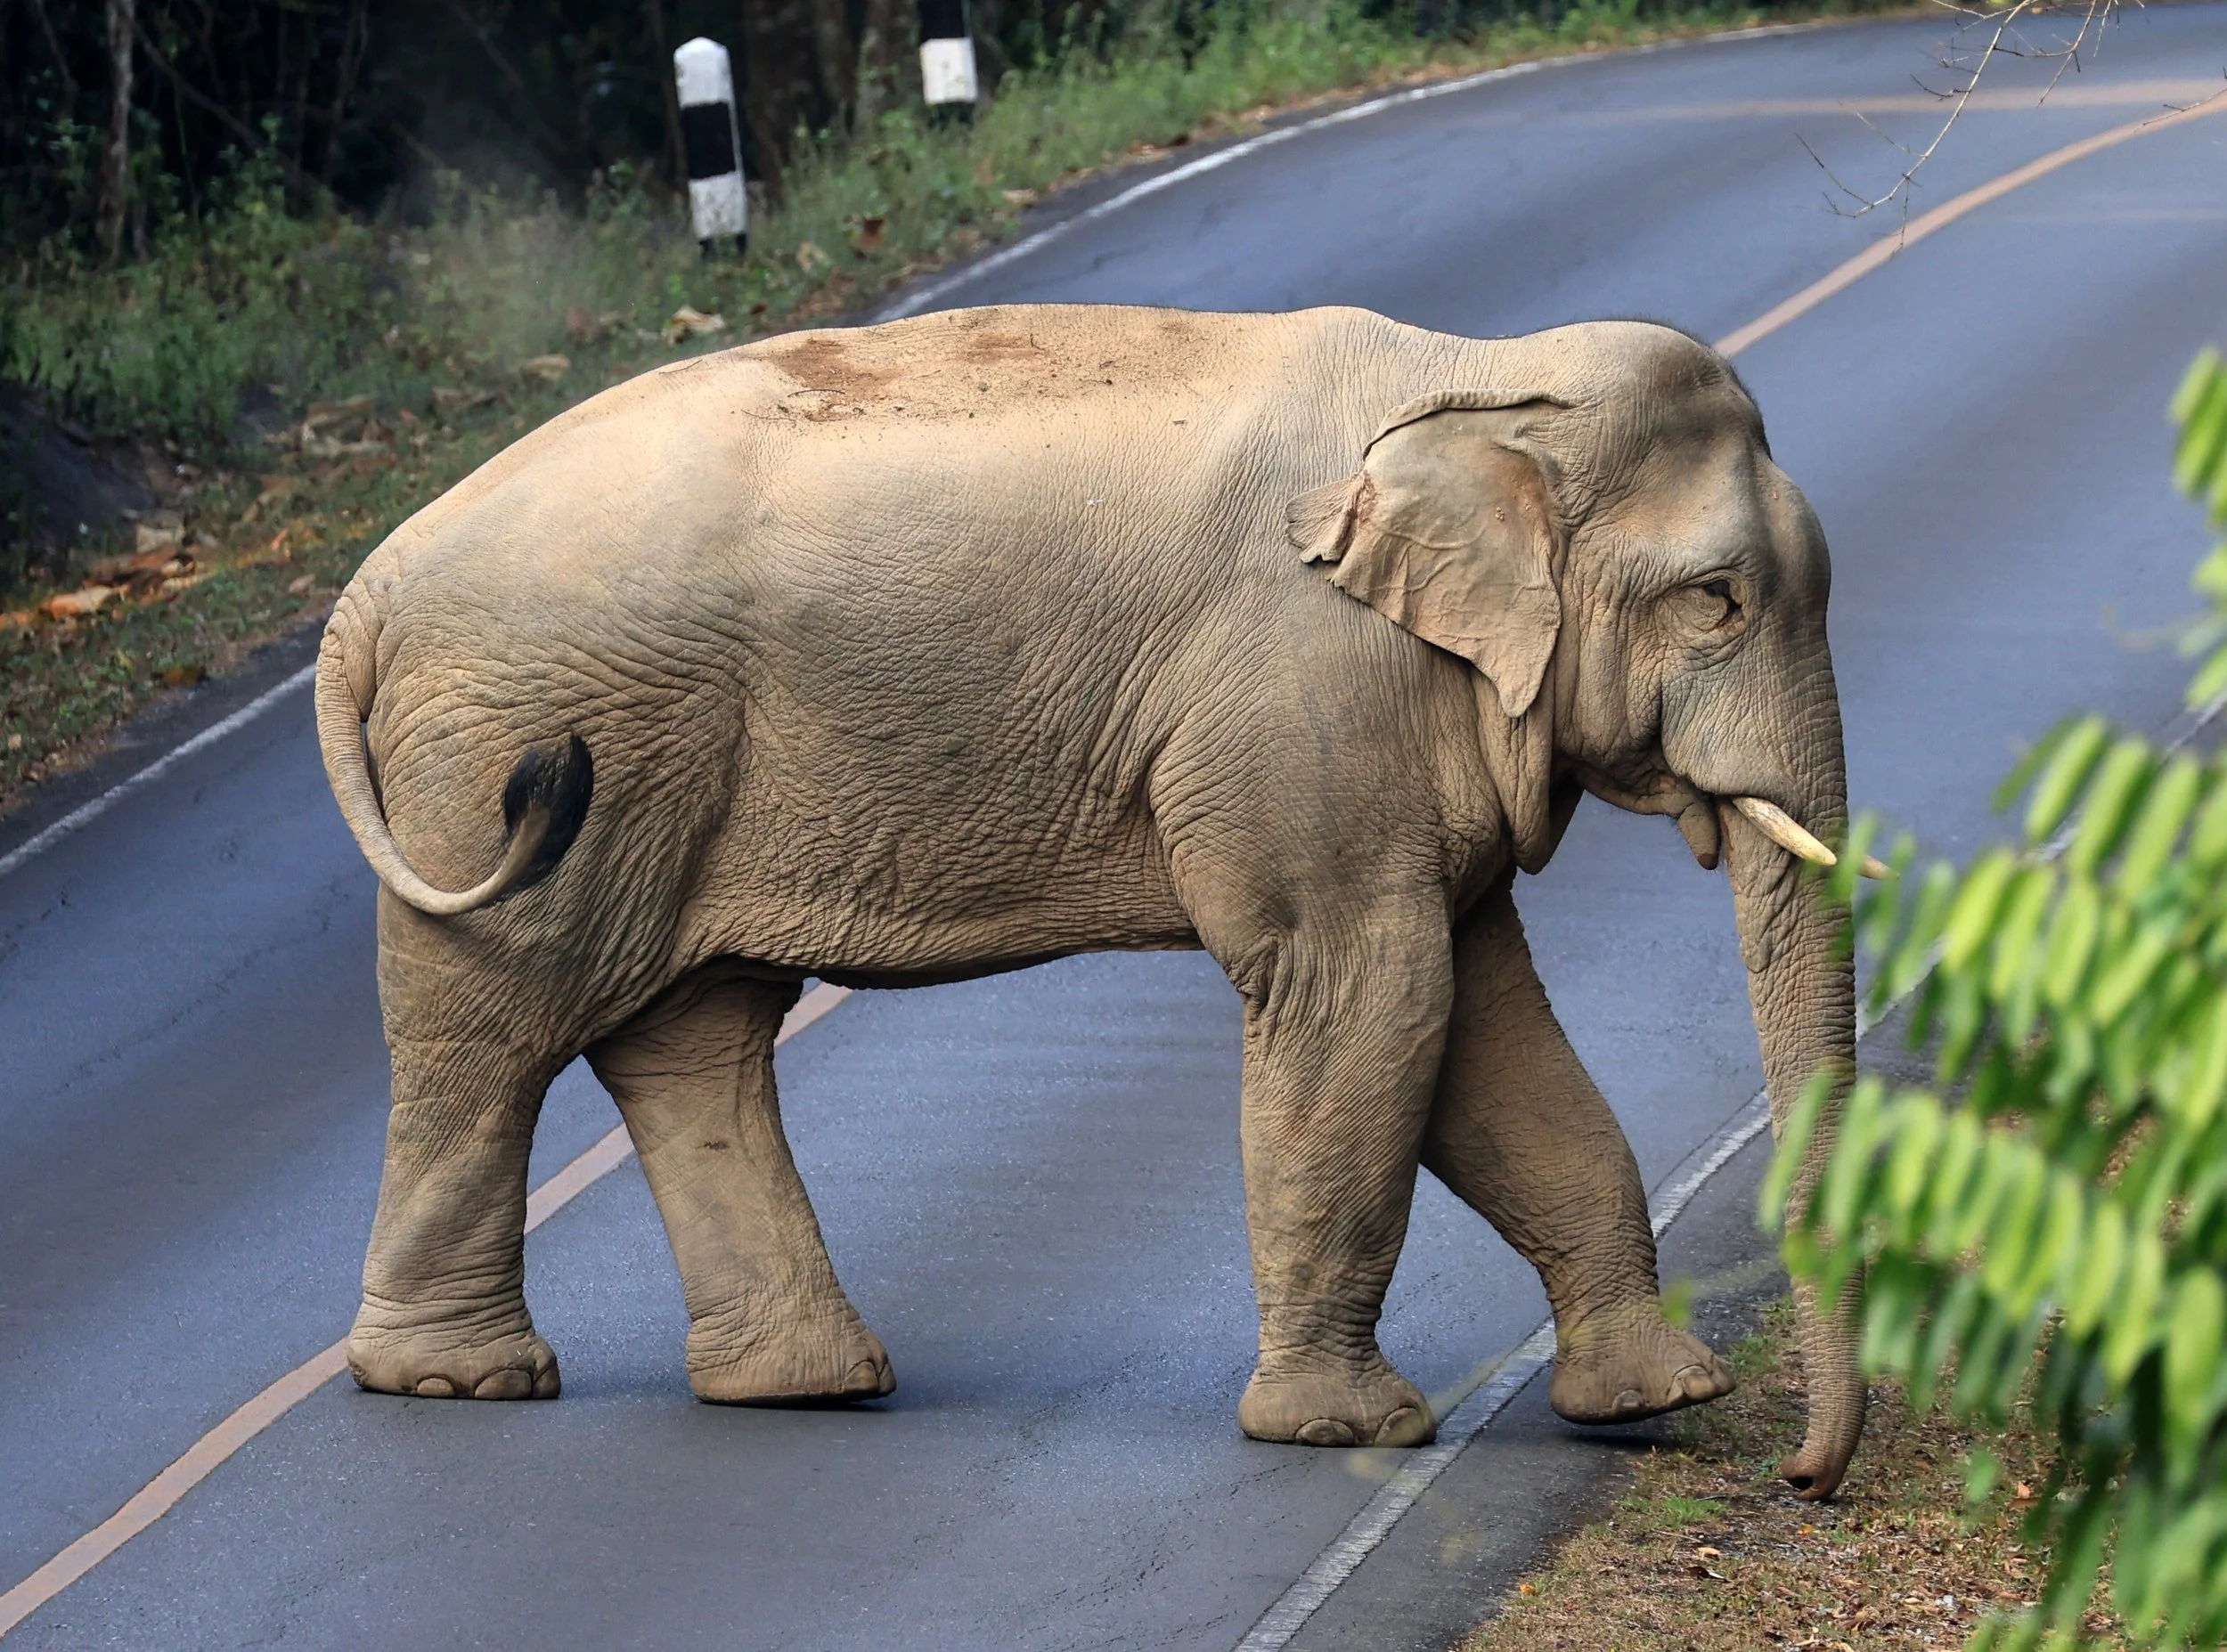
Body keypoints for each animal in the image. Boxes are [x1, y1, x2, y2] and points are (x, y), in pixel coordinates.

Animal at [315, 302, 1864, 1498]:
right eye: (1717, 600)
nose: (1799, 1472)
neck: (1484, 373)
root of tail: (366, 588)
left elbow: (1481, 1025)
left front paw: (1656, 1399)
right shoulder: (1308, 698)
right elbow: (1369, 993)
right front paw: (1342, 1429)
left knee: (692, 1036)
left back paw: (802, 1384)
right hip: (516, 752)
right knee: (493, 1031)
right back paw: (460, 1380)